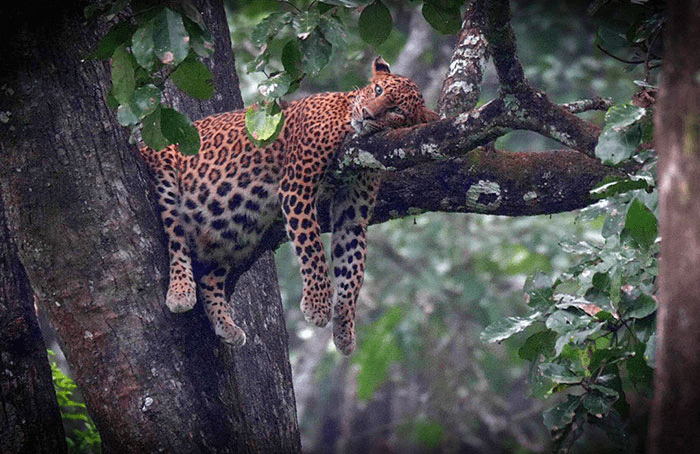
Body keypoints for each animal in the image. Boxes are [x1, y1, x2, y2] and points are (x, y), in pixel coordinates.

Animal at [140, 57, 438, 354]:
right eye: (377, 90)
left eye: (396, 110)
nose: (366, 114)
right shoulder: (297, 183)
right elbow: (312, 247)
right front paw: (318, 305)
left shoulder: (352, 212)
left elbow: (352, 268)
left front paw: (344, 327)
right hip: (164, 161)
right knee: (176, 236)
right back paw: (180, 291)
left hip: (229, 230)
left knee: (209, 275)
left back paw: (225, 324)